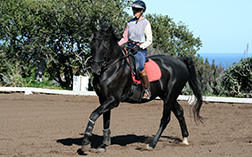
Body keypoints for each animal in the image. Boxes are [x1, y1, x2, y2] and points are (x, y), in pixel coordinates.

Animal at [81, 24, 204, 152]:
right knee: (179, 112)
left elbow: (94, 114)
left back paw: (152, 144)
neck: (112, 68)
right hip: (167, 96)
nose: (95, 70)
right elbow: (106, 119)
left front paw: (86, 143)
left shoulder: (113, 100)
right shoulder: (104, 99)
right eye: (92, 44)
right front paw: (104, 144)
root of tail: (180, 61)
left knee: (165, 119)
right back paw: (185, 139)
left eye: (105, 46)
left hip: (171, 96)